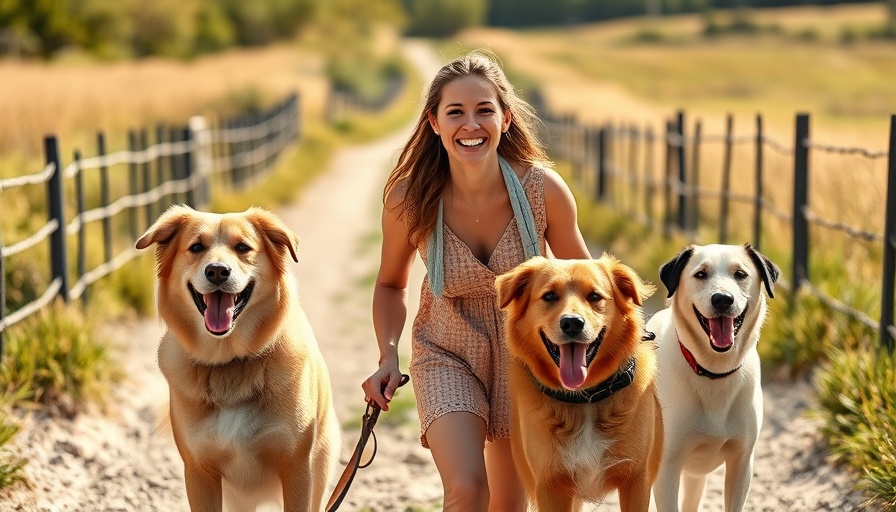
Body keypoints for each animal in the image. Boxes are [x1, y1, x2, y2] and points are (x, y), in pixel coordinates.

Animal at [136, 205, 340, 512]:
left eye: (243, 247)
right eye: (196, 247)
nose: (217, 271)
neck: (230, 361)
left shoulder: (297, 468)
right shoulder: (199, 473)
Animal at [496, 256, 664, 512]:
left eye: (594, 296)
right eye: (549, 296)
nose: (572, 323)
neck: (585, 398)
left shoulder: (636, 479)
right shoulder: (551, 486)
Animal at [648, 244, 780, 512]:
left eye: (740, 274)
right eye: (701, 274)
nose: (722, 299)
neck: (713, 371)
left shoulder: (742, 462)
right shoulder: (666, 467)